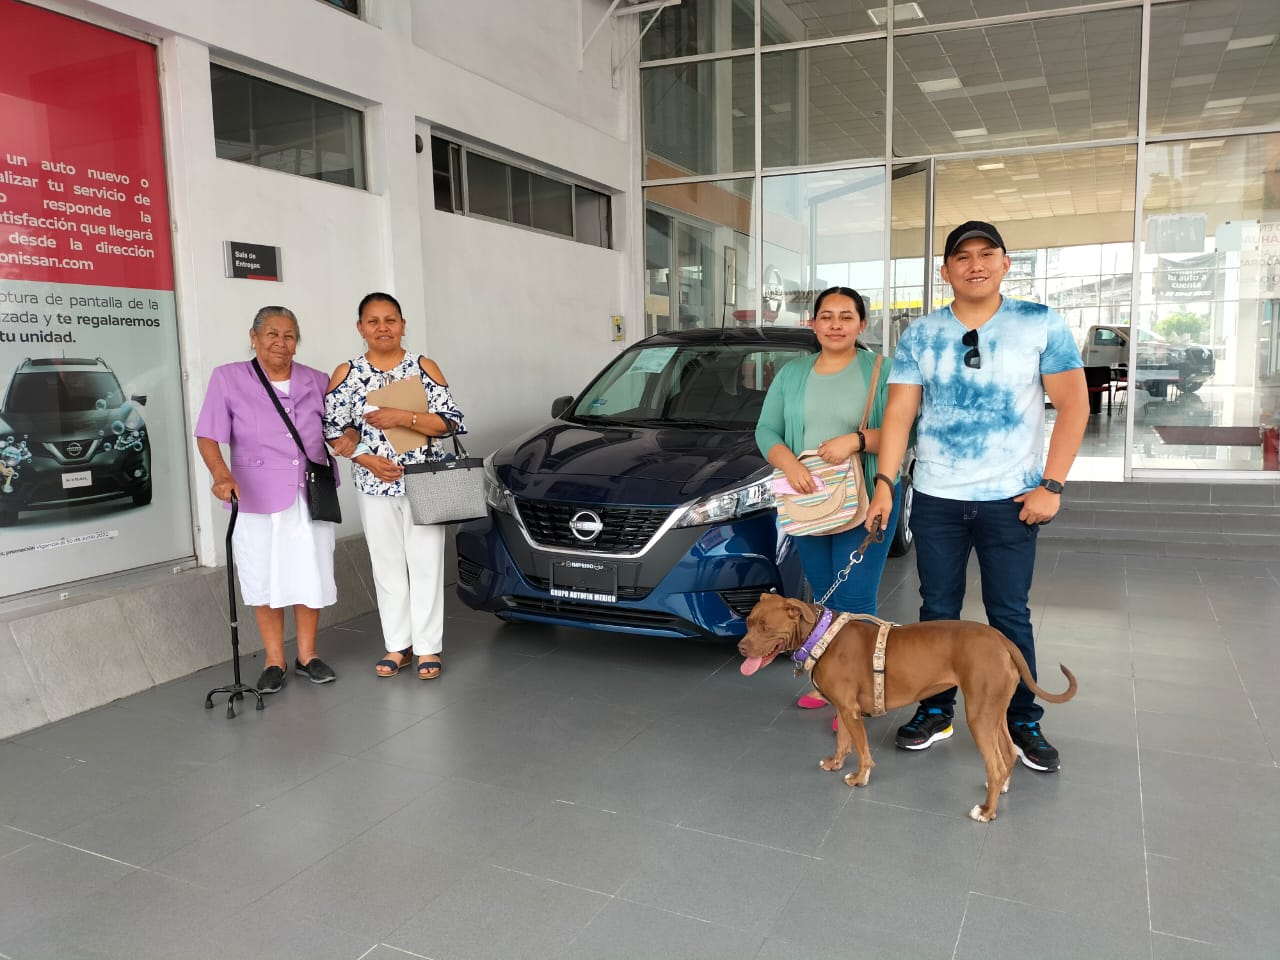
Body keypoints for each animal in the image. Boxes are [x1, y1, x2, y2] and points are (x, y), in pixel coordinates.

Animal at [738, 593, 1077, 822]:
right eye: (748, 622)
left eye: (765, 627)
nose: (740, 646)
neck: (821, 635)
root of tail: (1002, 640)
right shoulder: (844, 709)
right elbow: (843, 741)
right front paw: (835, 763)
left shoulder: (851, 712)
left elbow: (862, 751)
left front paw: (859, 778)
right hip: (995, 712)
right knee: (1007, 754)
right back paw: (1002, 786)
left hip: (980, 715)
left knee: (994, 763)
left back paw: (987, 810)